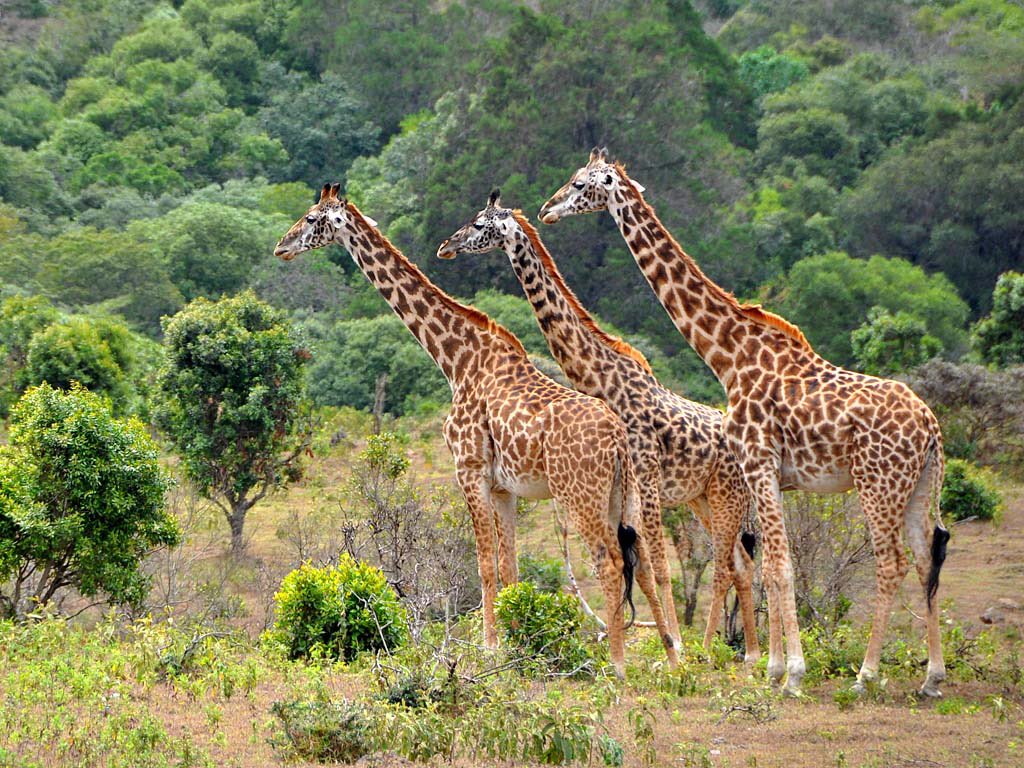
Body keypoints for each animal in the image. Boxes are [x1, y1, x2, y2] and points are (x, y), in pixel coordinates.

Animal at [272, 183, 679, 675]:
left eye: (313, 220)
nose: (281, 246)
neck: (455, 359)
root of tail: (619, 439)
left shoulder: (468, 469)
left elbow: (484, 564)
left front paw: (489, 648)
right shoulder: (504, 487)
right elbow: (511, 568)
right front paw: (519, 647)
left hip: (579, 495)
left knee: (610, 562)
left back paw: (617, 665)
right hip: (627, 493)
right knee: (644, 562)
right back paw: (672, 656)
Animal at [438, 191, 761, 663]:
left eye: (480, 224)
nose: (447, 246)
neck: (599, 376)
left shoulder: (641, 479)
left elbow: (656, 567)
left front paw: (673, 652)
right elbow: (644, 565)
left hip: (723, 496)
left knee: (725, 564)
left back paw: (710, 650)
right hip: (703, 499)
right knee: (742, 560)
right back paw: (753, 654)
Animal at [540, 150, 946, 696]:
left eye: (581, 184)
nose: (547, 209)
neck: (729, 357)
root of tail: (932, 429)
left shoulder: (758, 463)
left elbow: (777, 566)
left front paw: (791, 674)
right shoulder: (762, 473)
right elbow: (768, 564)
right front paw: (773, 667)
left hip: (877, 483)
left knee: (892, 562)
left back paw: (865, 675)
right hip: (919, 486)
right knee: (925, 559)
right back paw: (932, 677)